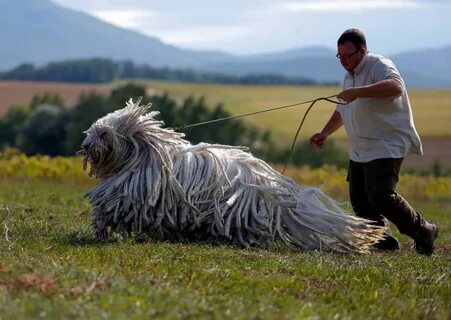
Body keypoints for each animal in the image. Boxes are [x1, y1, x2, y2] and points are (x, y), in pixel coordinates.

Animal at [81, 99, 384, 254]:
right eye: (93, 130)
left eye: (104, 133)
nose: (85, 146)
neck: (143, 154)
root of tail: (272, 186)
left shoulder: (131, 194)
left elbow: (110, 208)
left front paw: (101, 229)